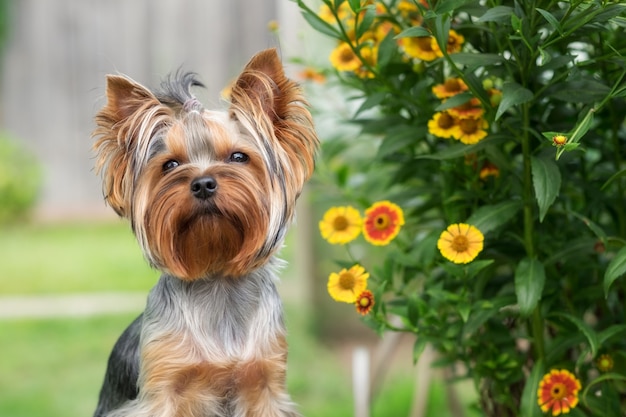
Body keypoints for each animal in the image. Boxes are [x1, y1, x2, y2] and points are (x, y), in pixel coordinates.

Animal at [90, 47, 320, 414]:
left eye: (238, 157)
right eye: (170, 164)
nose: (202, 183)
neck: (217, 279)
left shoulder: (265, 382)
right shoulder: (163, 388)